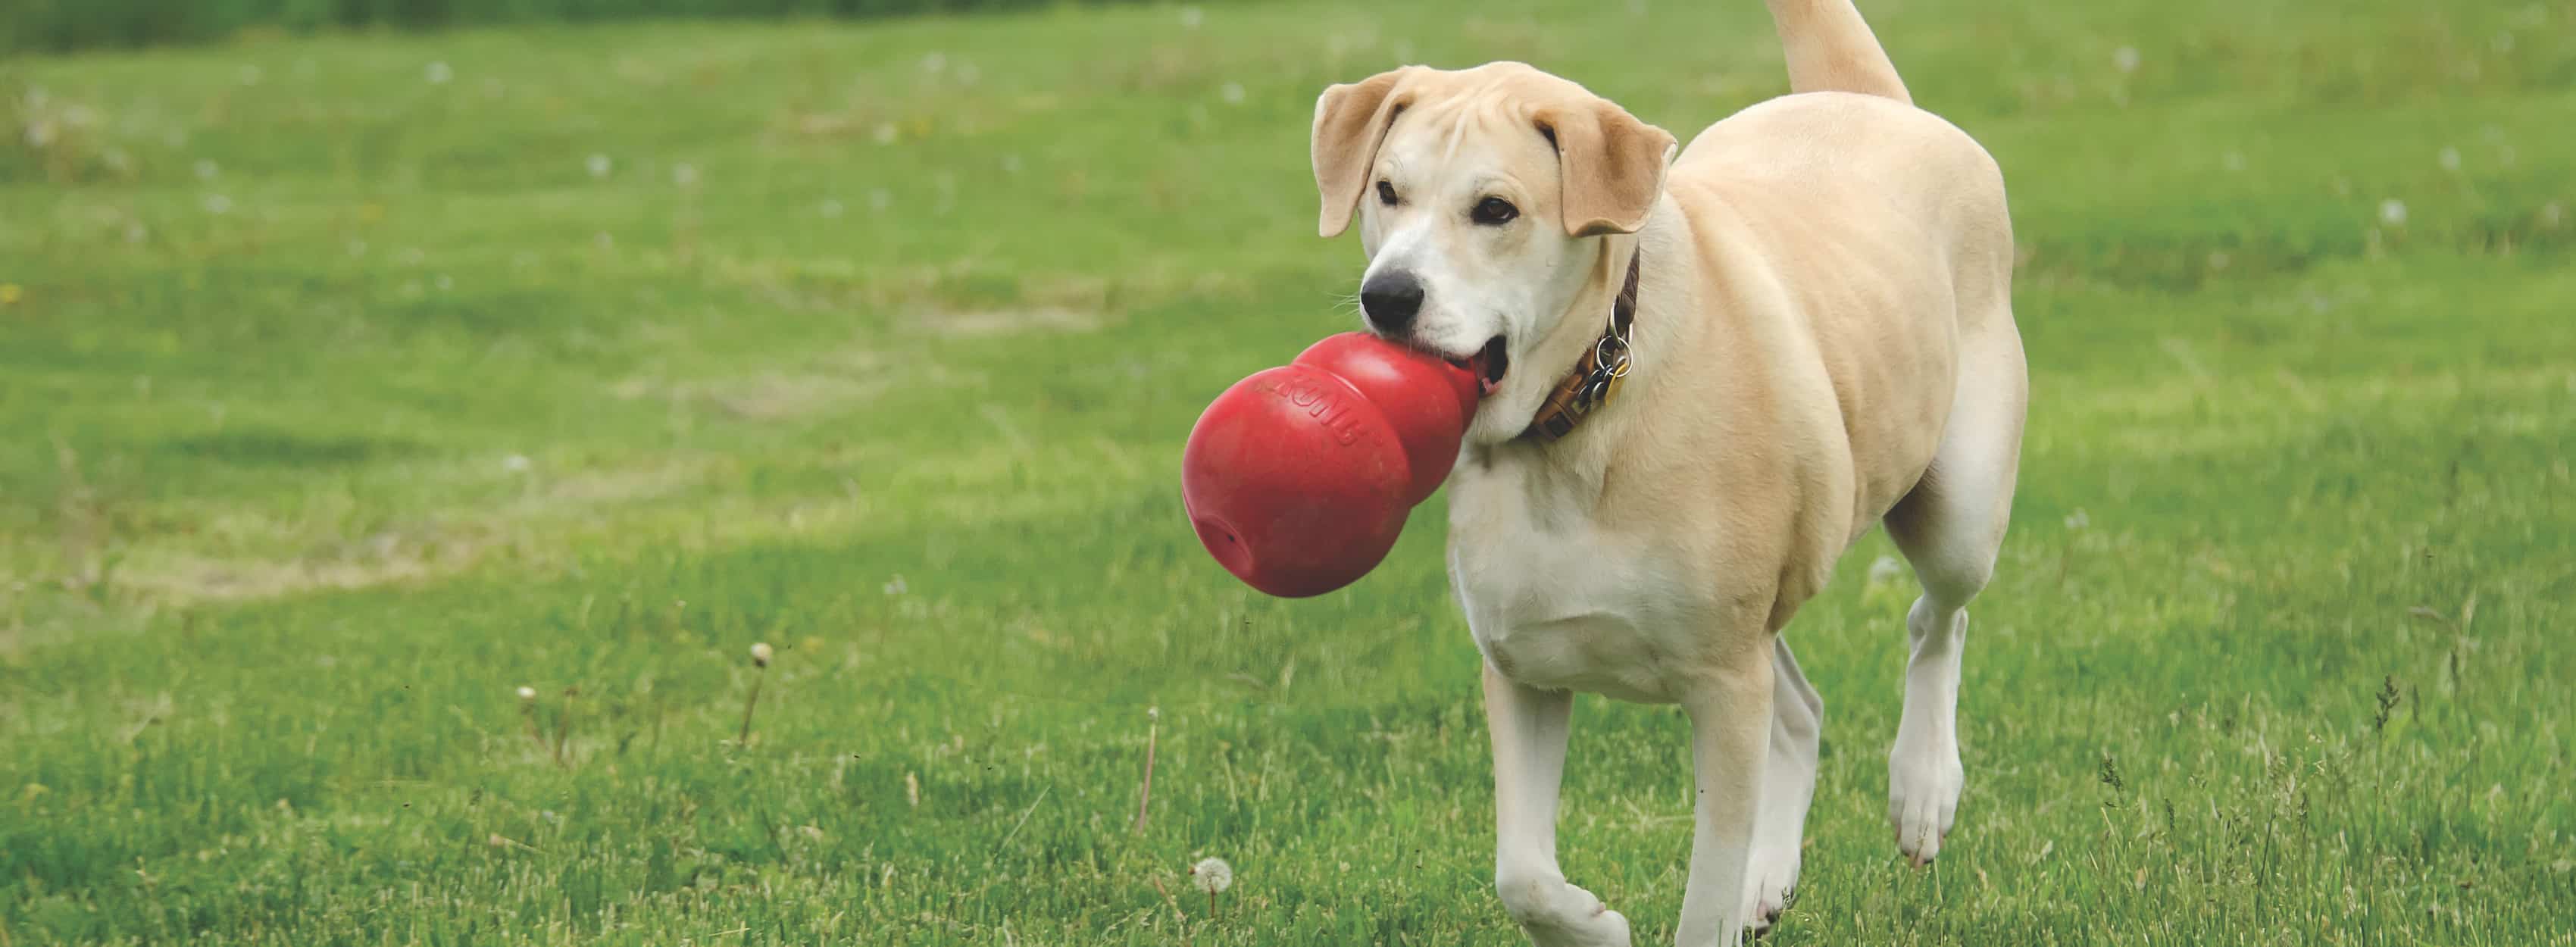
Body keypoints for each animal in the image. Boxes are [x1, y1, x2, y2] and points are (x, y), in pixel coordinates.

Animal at [1308, 3, 2030, 942]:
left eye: (1495, 209)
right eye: (1386, 193)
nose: (1388, 296)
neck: (1582, 410)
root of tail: (1868, 100)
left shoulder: (1724, 688)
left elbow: (1706, 883)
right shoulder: (1523, 664)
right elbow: (1521, 875)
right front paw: (1593, 921)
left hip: (1957, 503)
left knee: (1939, 615)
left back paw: (1923, 784)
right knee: (1800, 708)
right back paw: (1772, 871)